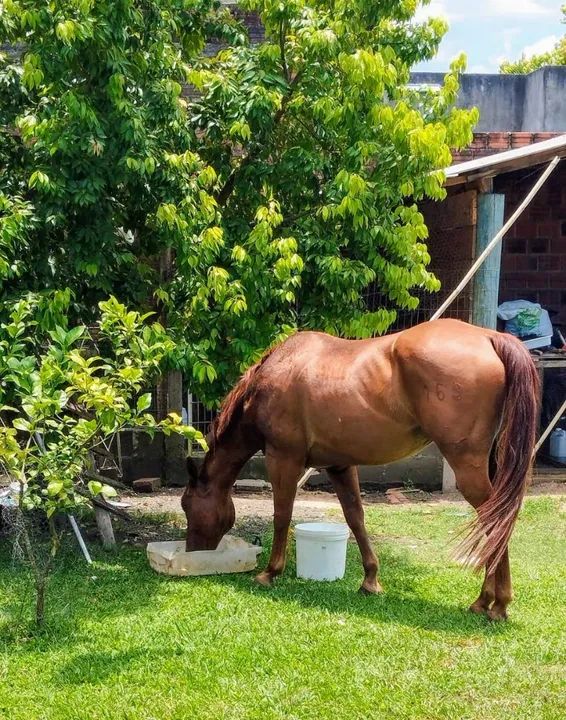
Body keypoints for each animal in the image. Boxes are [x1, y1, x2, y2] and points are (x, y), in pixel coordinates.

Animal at [181, 319, 539, 621]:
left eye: (187, 506)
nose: (191, 551)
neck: (273, 375)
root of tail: (489, 337)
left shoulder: (283, 459)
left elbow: (282, 516)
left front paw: (270, 572)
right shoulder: (340, 465)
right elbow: (356, 519)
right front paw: (370, 581)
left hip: (467, 467)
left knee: (496, 521)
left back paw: (495, 603)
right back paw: (487, 601)